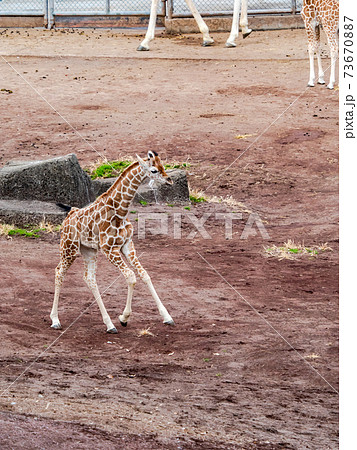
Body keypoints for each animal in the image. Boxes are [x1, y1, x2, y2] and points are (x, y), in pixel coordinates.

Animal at [49, 153, 174, 332]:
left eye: (163, 166)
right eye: (154, 170)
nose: (169, 180)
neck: (120, 212)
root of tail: (70, 214)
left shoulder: (127, 245)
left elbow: (144, 274)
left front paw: (167, 317)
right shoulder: (109, 249)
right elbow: (131, 277)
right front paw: (123, 317)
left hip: (89, 250)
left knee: (89, 278)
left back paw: (109, 324)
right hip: (69, 248)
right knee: (59, 271)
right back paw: (55, 320)